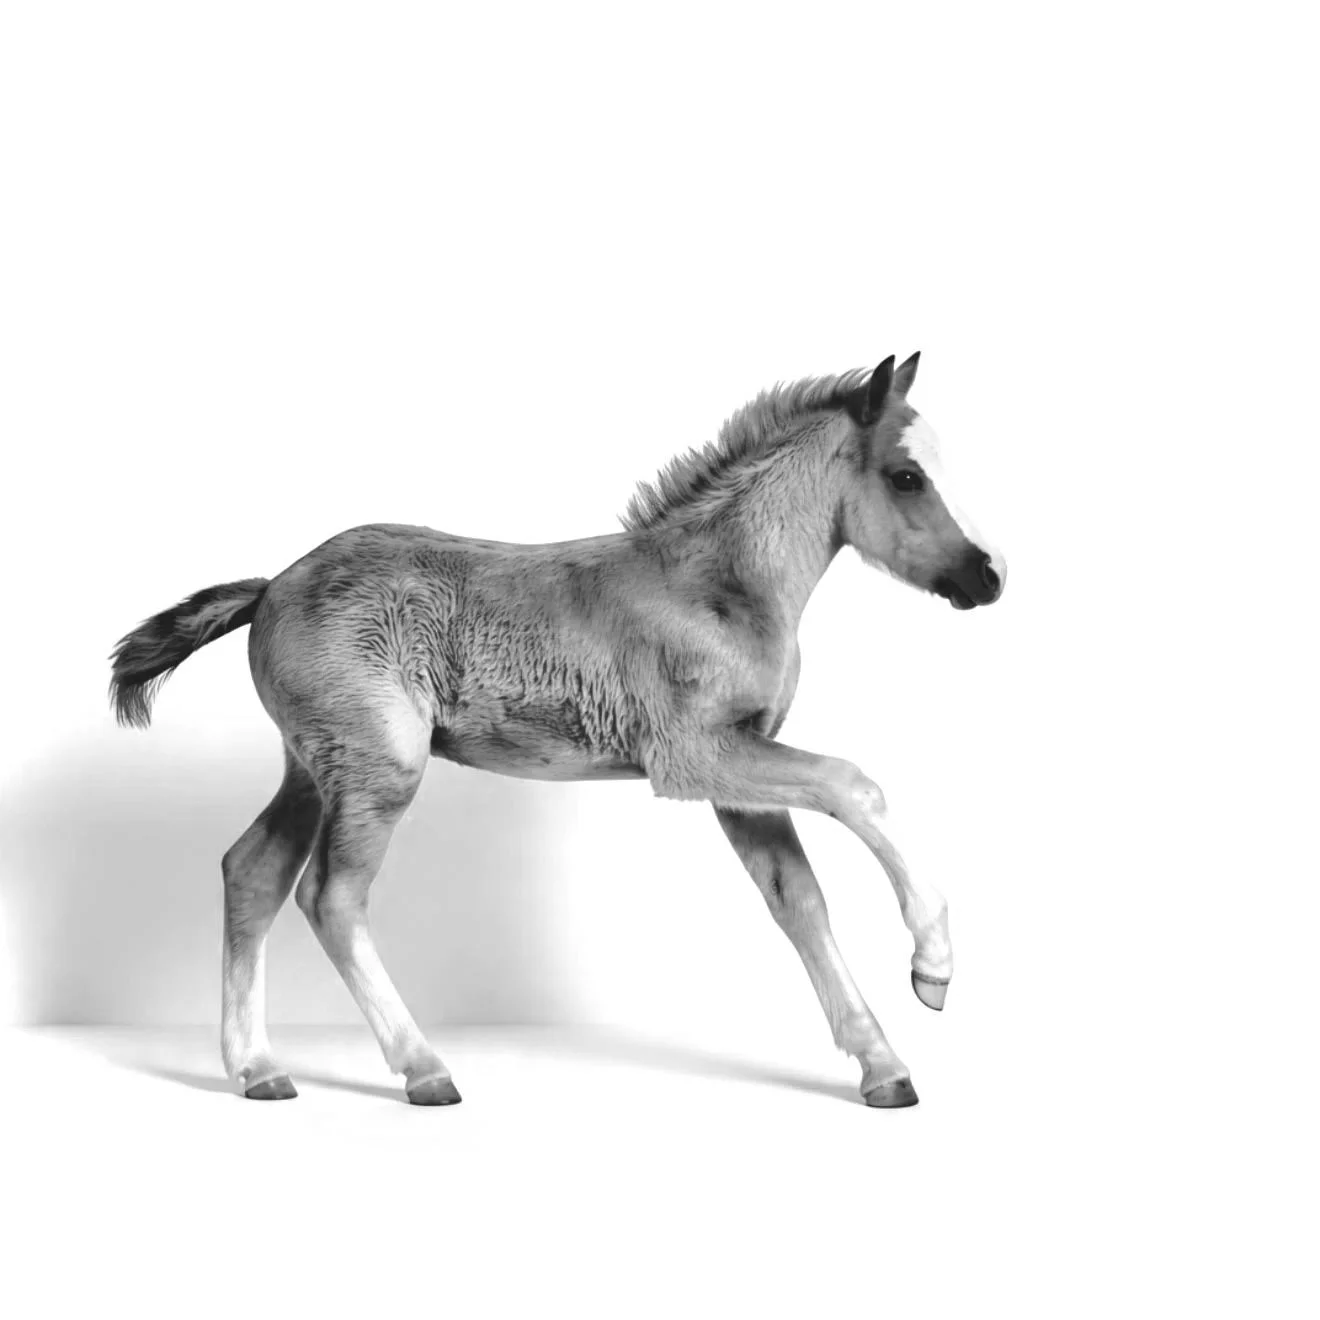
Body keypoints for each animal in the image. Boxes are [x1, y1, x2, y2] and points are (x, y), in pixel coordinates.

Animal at [109, 352, 1005, 1108]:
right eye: (907, 475)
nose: (988, 577)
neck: (719, 585)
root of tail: (269, 589)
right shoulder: (693, 757)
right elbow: (856, 785)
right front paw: (933, 966)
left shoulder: (738, 774)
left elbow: (799, 902)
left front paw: (882, 1065)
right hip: (378, 768)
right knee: (329, 895)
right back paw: (423, 1068)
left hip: (312, 766)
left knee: (251, 872)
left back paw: (258, 1070)